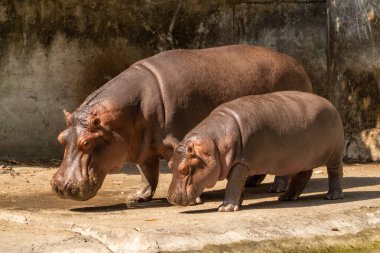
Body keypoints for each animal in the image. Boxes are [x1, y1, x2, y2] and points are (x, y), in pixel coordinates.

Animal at [50, 45, 312, 202]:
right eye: (61, 138)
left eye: (86, 143)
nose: (61, 186)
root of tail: (298, 64)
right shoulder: (142, 145)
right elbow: (147, 173)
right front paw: (137, 197)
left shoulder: (178, 139)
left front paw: (194, 197)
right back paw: (252, 181)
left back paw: (276, 189)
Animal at [168, 91, 346, 211]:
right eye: (170, 165)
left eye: (184, 169)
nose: (170, 198)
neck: (213, 145)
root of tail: (331, 104)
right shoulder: (238, 163)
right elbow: (238, 185)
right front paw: (237, 204)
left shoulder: (242, 162)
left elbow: (233, 183)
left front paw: (225, 208)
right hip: (301, 159)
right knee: (303, 175)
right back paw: (286, 197)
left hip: (334, 154)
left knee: (335, 172)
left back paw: (332, 196)